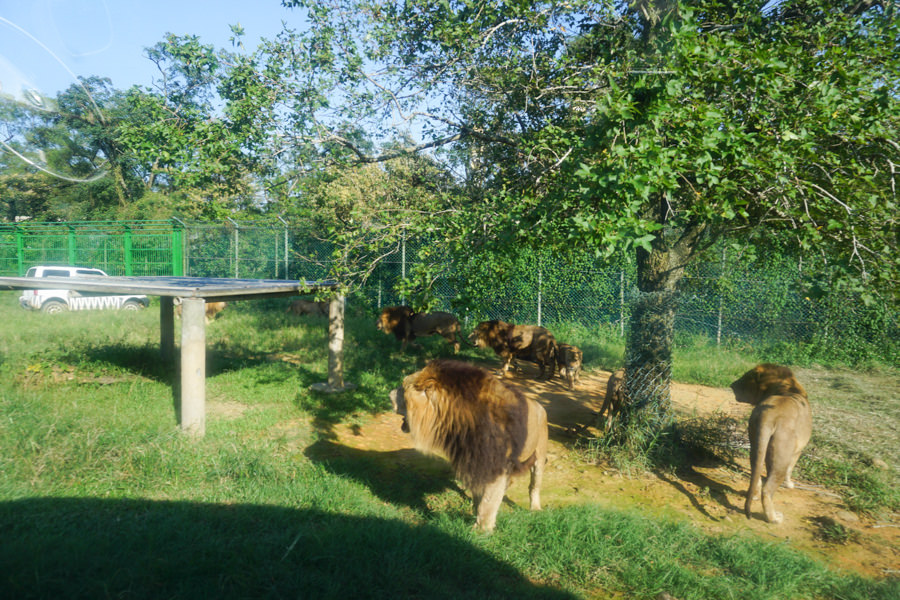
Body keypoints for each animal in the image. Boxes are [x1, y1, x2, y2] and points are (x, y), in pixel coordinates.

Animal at [388, 358, 548, 532]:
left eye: (403, 388)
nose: (388, 395)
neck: (459, 423)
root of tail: (540, 406)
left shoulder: (495, 466)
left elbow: (487, 502)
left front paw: (481, 531)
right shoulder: (474, 462)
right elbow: (480, 497)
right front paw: (476, 519)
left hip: (539, 456)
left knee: (534, 486)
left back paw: (535, 509)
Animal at [728, 364, 812, 524]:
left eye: (745, 378)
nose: (731, 385)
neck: (785, 386)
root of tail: (769, 416)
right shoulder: (797, 451)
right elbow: (790, 470)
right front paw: (789, 485)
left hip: (755, 444)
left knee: (756, 476)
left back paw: (753, 496)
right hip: (782, 457)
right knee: (767, 489)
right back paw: (774, 518)